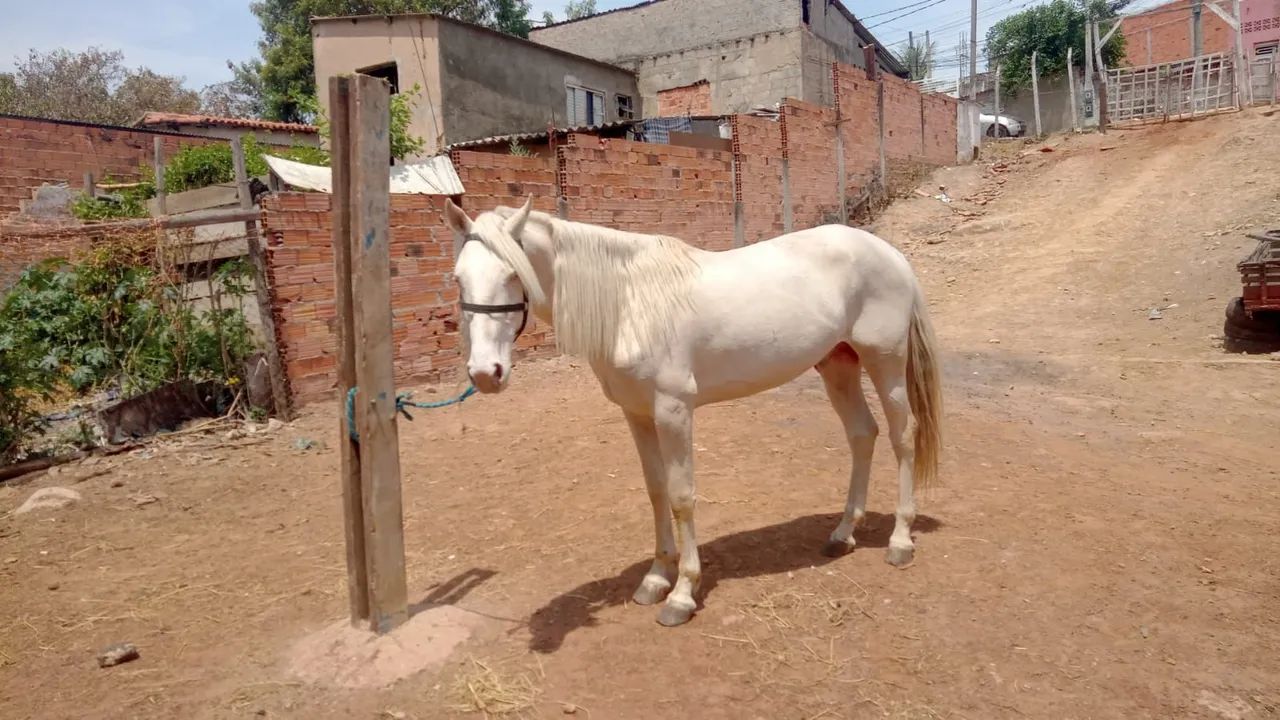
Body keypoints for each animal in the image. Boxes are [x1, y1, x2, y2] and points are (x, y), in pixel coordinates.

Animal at [444, 197, 943, 627]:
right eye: (457, 278)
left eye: (514, 273)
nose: (486, 373)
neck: (629, 302)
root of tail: (890, 253)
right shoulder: (637, 413)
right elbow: (656, 491)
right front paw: (655, 579)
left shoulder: (673, 410)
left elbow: (682, 496)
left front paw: (682, 594)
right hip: (838, 365)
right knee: (862, 434)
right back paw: (842, 535)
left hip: (885, 362)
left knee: (903, 435)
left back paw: (900, 540)